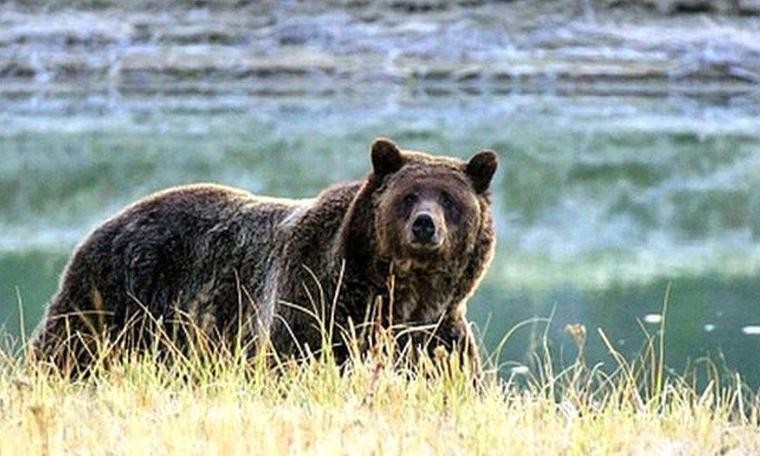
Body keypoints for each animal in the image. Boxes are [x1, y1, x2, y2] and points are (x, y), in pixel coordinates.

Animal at [31, 138, 498, 374]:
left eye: (449, 199)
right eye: (409, 195)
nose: (425, 225)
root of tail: (107, 221)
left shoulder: (436, 334)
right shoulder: (314, 305)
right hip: (115, 295)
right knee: (67, 348)